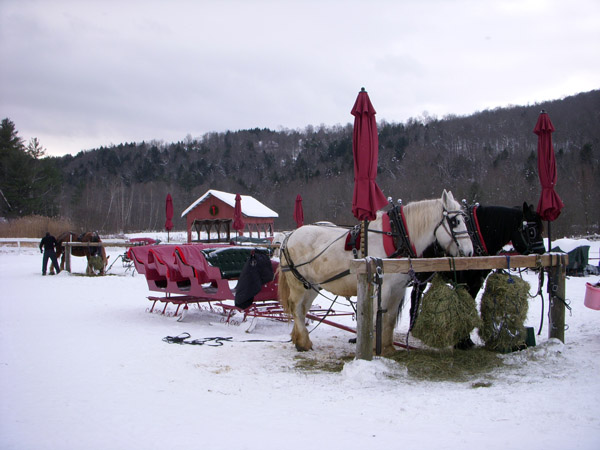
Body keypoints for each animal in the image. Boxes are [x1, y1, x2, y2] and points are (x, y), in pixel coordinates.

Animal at [276, 190, 474, 356]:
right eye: (455, 221)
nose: (469, 251)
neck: (396, 238)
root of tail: (289, 236)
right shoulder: (383, 287)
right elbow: (376, 317)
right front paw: (373, 347)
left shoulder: (398, 289)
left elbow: (390, 318)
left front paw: (388, 348)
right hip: (298, 285)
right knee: (296, 308)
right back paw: (303, 342)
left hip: (311, 285)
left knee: (303, 309)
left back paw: (299, 339)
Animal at [410, 202, 548, 350]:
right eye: (532, 231)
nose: (541, 253)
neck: (478, 235)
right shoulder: (464, 282)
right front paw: (461, 342)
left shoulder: (476, 282)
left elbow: (470, 303)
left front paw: (466, 340)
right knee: (416, 293)